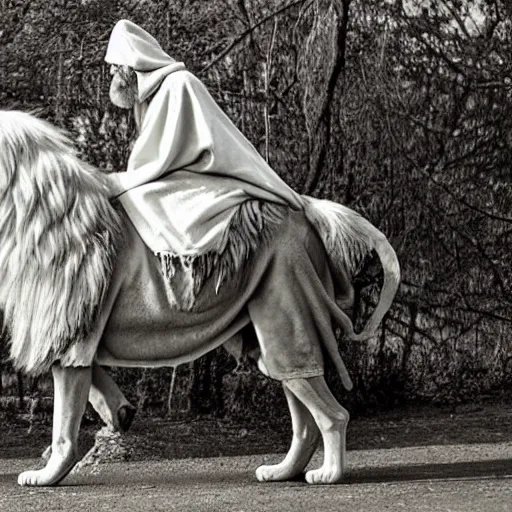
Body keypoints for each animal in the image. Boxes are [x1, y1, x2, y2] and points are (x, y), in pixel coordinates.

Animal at [0, 110, 400, 486]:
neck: (43, 214)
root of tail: (306, 209)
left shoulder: (69, 333)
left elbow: (64, 425)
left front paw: (48, 475)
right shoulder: (71, 331)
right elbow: (92, 382)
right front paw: (120, 411)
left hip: (288, 310)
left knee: (332, 414)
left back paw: (329, 473)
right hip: (269, 333)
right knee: (303, 411)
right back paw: (283, 471)